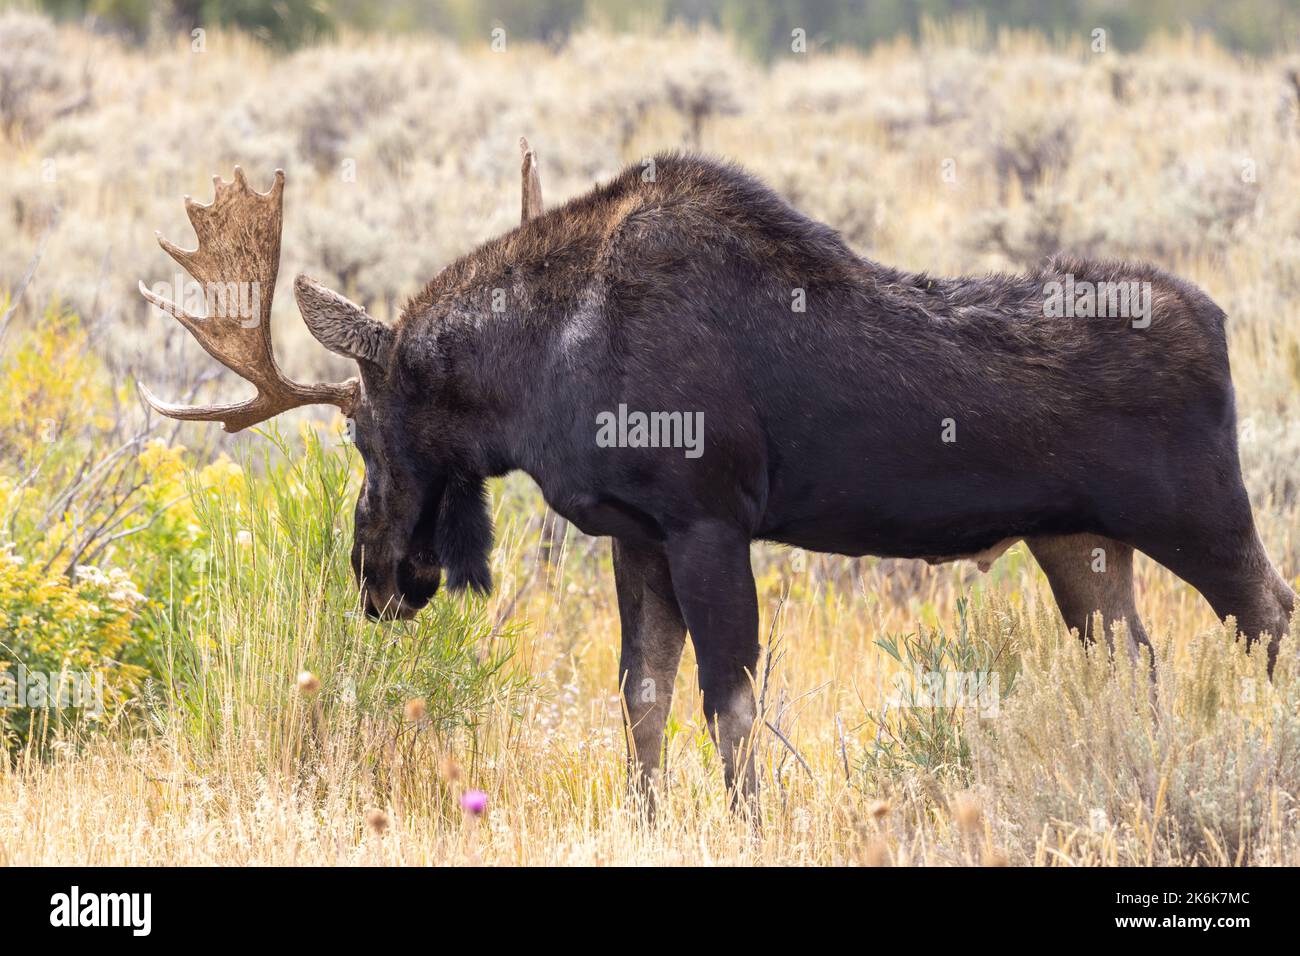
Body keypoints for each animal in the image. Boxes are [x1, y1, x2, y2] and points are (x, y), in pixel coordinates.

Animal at [137, 140, 1294, 801]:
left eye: (364, 436)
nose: (376, 576)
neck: (537, 369)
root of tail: (1220, 319)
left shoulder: (707, 522)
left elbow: (726, 704)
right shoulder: (635, 533)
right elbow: (641, 699)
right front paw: (645, 819)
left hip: (1202, 514)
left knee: (1268, 613)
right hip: (1080, 543)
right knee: (1138, 662)